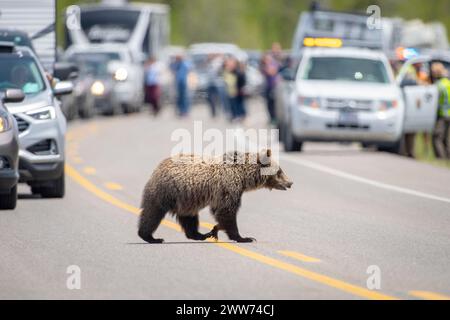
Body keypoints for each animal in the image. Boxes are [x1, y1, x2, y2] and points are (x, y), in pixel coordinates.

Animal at [138, 150, 292, 242]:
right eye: (279, 171)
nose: (290, 182)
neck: (243, 177)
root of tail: (157, 167)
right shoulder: (229, 187)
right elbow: (227, 211)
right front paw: (243, 237)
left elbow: (220, 212)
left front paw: (214, 230)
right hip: (167, 192)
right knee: (153, 213)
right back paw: (150, 237)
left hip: (186, 199)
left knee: (189, 217)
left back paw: (199, 235)